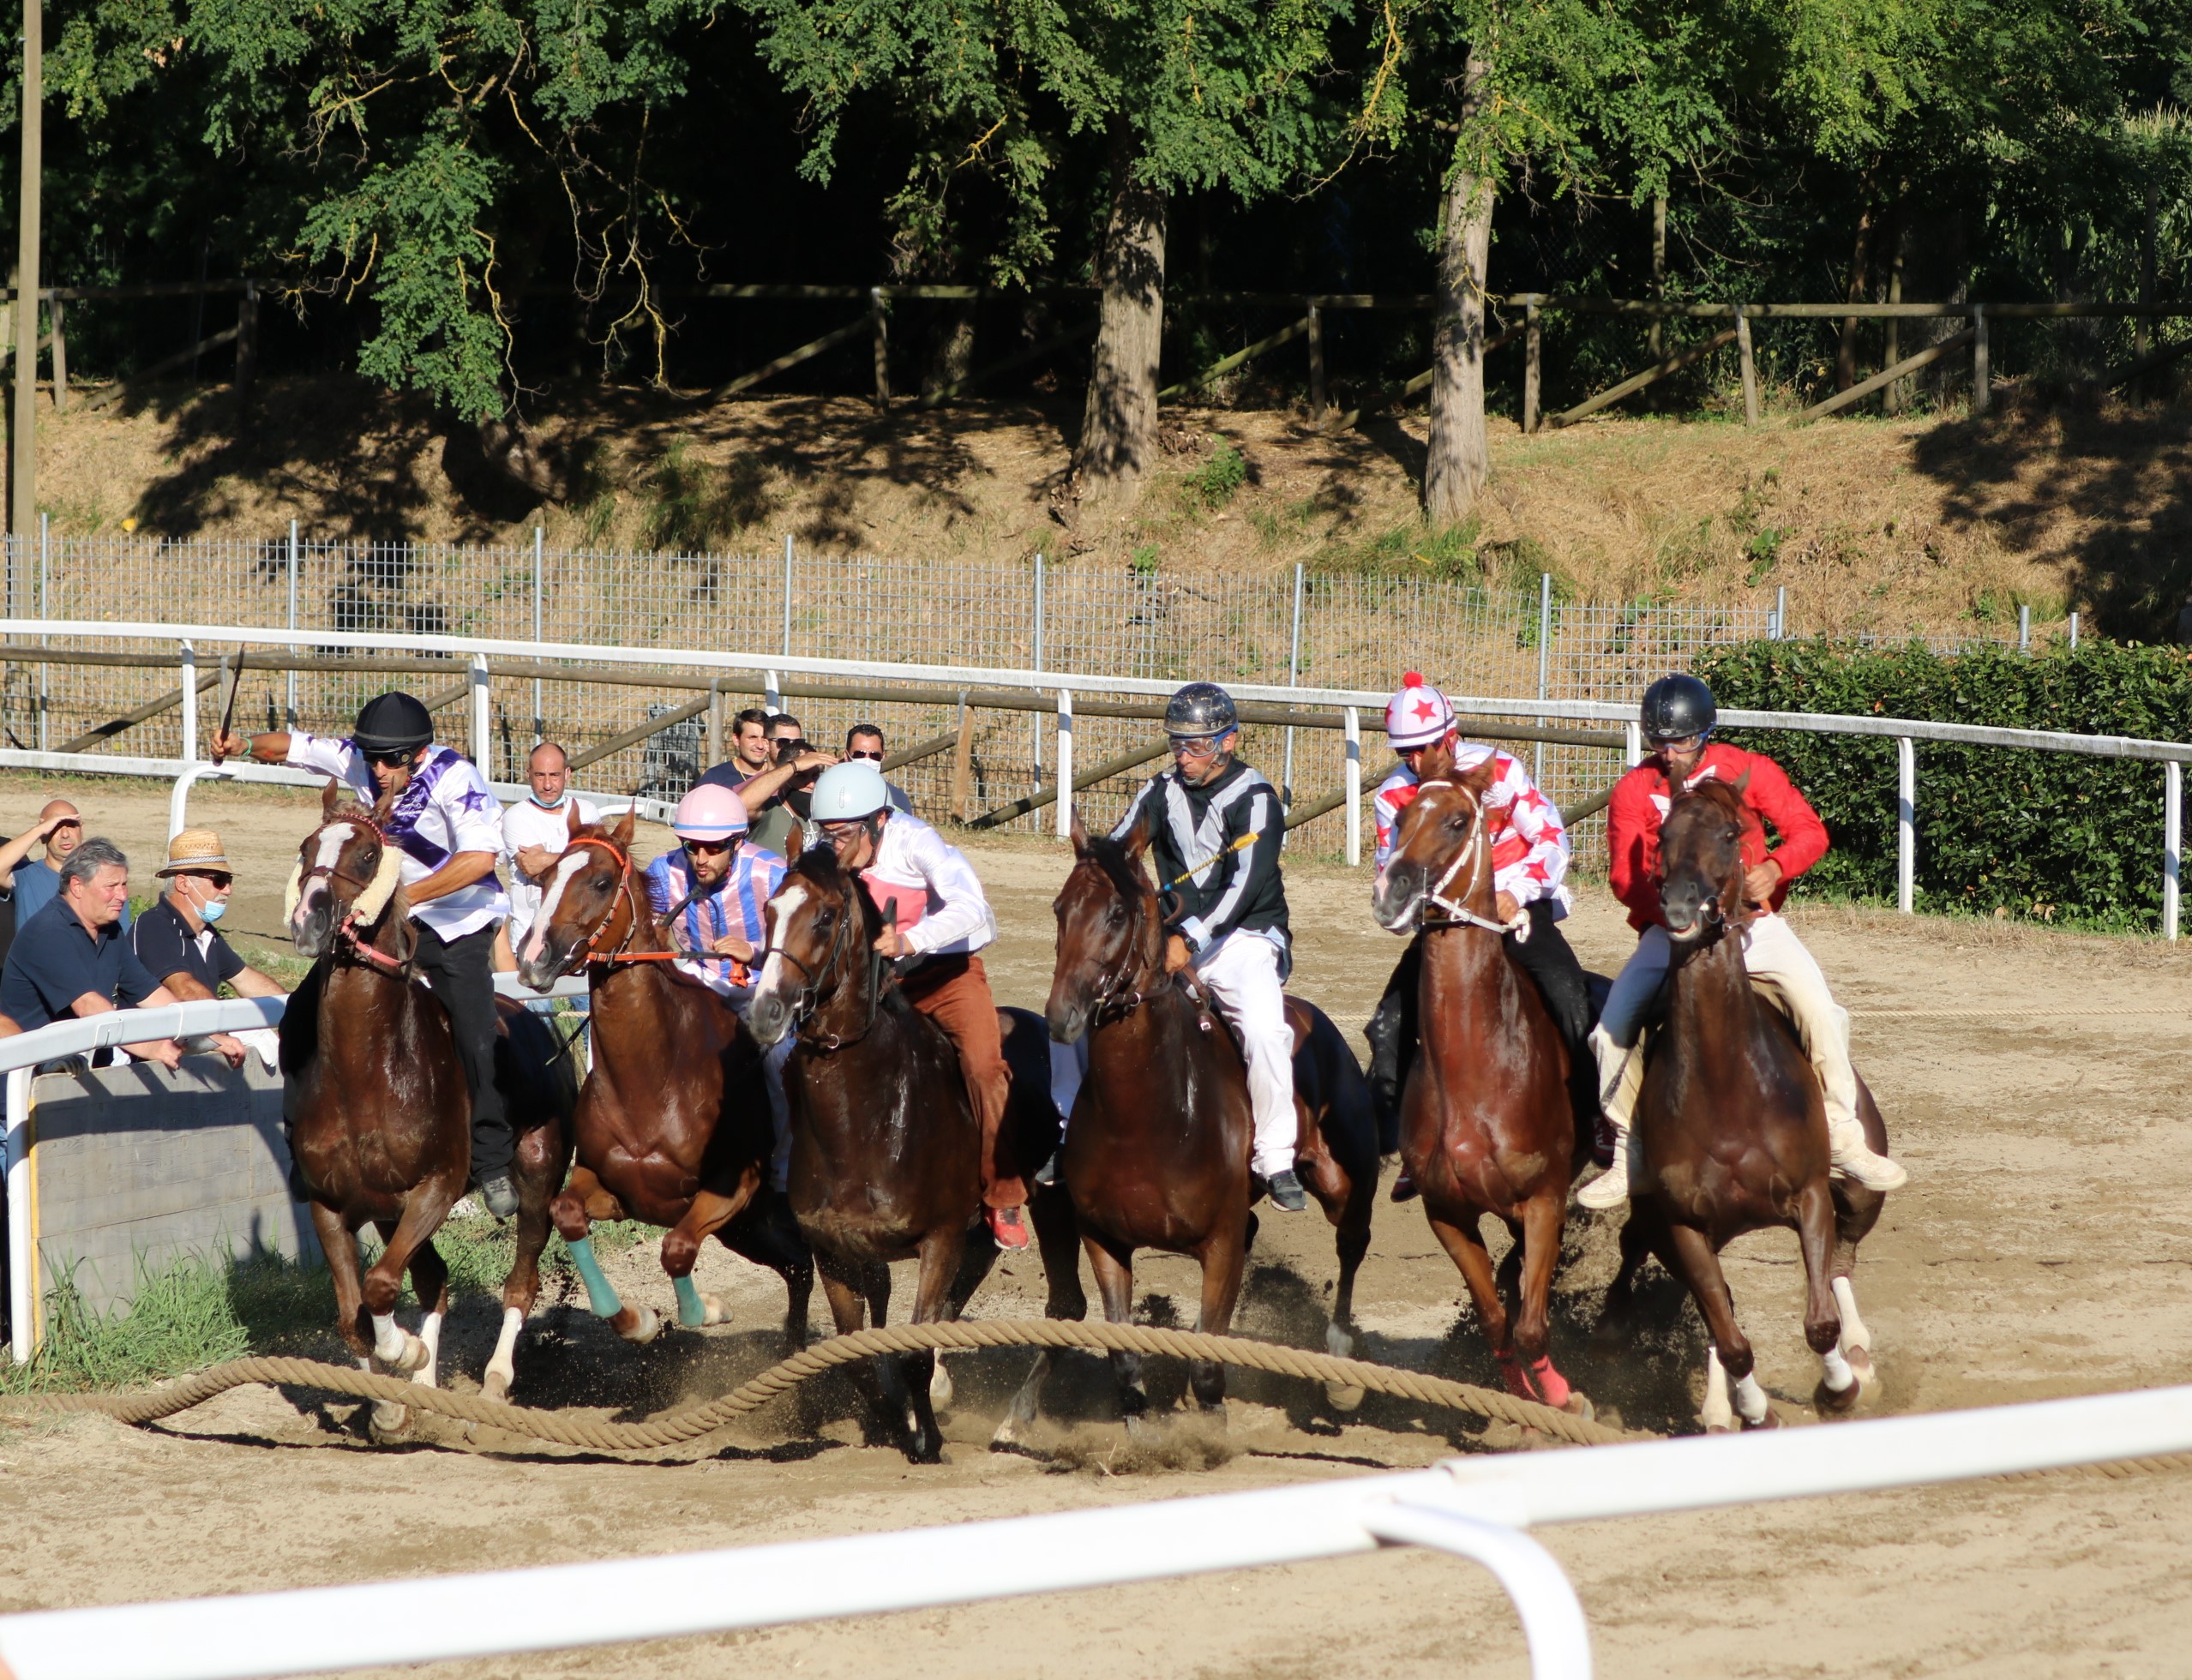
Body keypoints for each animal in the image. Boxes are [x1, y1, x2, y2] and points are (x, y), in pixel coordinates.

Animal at [280, 779, 574, 1428]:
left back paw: (494, 1379)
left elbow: (381, 1288)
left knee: (521, 1281)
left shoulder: (436, 1188)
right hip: (388, 1208)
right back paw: (425, 1385)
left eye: (368, 854)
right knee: (434, 1280)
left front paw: (407, 1353)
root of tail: (544, 1030)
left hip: (538, 1175)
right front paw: (390, 1397)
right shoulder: (333, 1204)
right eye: (307, 847)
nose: (311, 917)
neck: (366, 1074)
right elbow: (354, 1316)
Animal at [510, 806, 815, 1349]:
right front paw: (636, 1318)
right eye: (544, 879)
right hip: (750, 1229)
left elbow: (676, 1249)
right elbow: (566, 1214)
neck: (650, 1083)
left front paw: (707, 1309)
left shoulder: (731, 1189)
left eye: (601, 882)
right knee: (798, 1268)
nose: (531, 959)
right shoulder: (607, 1184)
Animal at [749, 832, 1083, 1463]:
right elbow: (858, 1358)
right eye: (768, 910)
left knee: (1067, 1307)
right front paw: (892, 1423)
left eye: (824, 916)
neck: (869, 1116)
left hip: (1055, 1205)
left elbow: (911, 1350)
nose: (765, 1012)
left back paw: (1013, 1421)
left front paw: (927, 1440)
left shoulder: (939, 1238)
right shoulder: (833, 1252)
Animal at [1039, 814, 1376, 1437]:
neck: (1147, 1120)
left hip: (1346, 1183)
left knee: (1351, 1244)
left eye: (1116, 914)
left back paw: (1342, 1366)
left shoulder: (1219, 1245)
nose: (1061, 1015)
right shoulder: (1103, 1239)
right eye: (1060, 908)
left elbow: (1206, 1361)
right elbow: (1124, 1356)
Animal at [1367, 748, 1595, 1419]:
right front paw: (1516, 1395)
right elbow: (1497, 1321)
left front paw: (1561, 1397)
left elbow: (1530, 1325)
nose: (1391, 891)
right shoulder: (1445, 1213)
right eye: (1399, 819)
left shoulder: (1544, 1200)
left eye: (1457, 821)